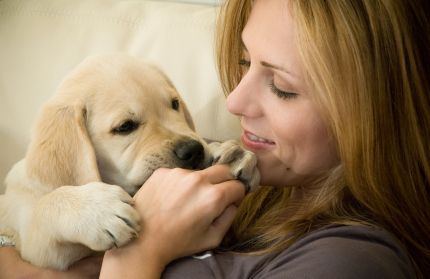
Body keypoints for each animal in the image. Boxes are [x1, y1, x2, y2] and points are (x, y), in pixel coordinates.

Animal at [0, 53, 258, 272]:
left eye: (175, 104)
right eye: (125, 127)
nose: (193, 151)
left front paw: (226, 153)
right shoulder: (39, 246)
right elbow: (46, 206)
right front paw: (98, 210)